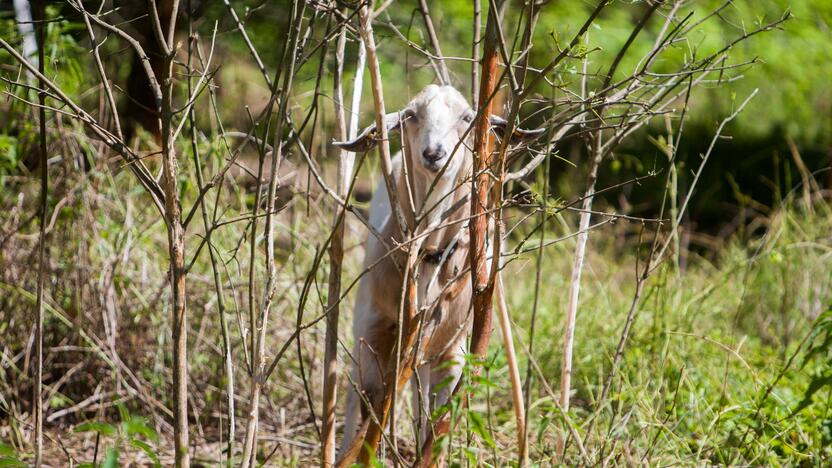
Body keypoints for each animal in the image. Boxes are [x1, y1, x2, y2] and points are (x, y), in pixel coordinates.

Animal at [334, 85, 544, 458]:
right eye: (410, 115)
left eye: (467, 117)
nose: (434, 153)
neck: (428, 254)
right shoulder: (373, 328)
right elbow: (370, 403)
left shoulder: (451, 350)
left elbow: (438, 419)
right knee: (356, 394)